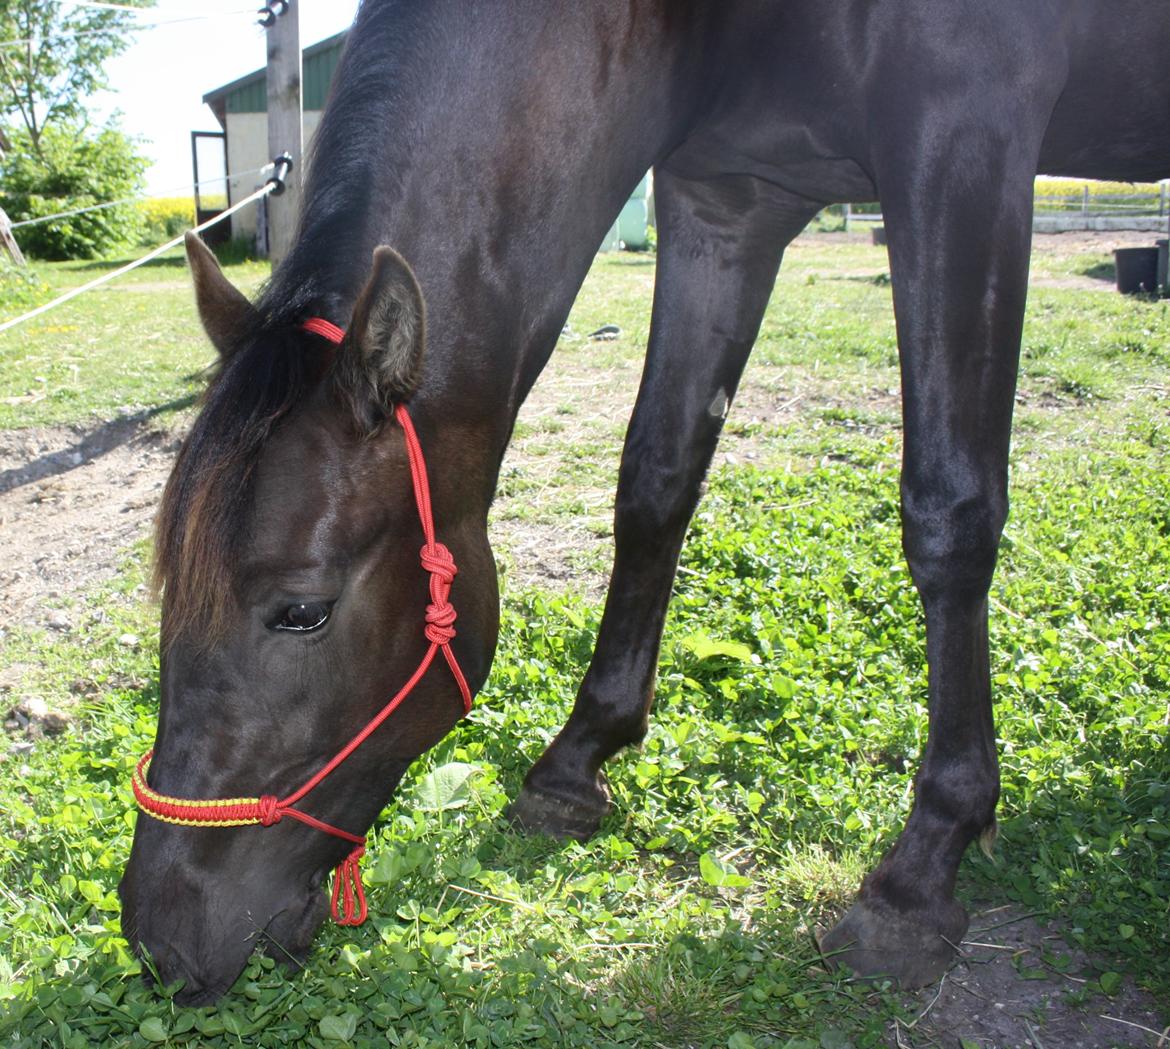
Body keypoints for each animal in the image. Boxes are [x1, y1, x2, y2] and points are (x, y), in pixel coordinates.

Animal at [118, 0, 1170, 1001]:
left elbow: (949, 509)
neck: (712, 23)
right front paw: (577, 760)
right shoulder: (726, 199)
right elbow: (657, 476)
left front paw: (923, 865)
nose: (160, 936)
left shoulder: (964, 134)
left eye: (301, 611)